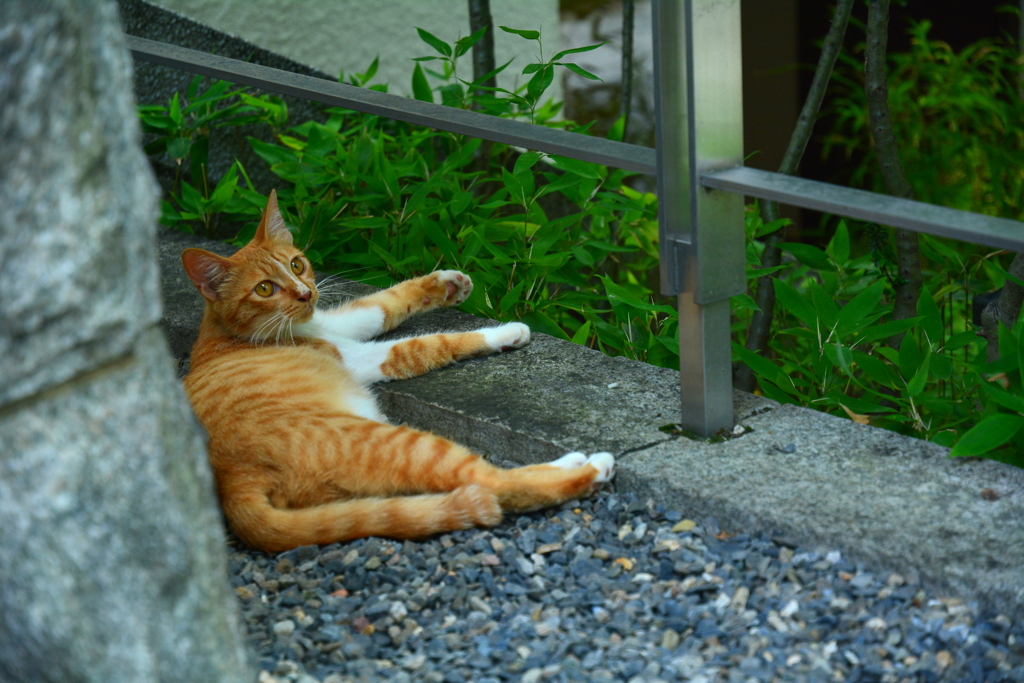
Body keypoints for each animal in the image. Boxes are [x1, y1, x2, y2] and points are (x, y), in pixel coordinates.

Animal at [180, 189, 610, 552]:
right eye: (265, 289)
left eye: (297, 264)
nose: (305, 294)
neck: (232, 332)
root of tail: (234, 483)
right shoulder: (360, 356)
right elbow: (427, 344)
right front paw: (503, 332)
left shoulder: (342, 322)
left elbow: (385, 301)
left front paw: (445, 284)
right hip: (402, 444)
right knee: (491, 479)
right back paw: (590, 468)